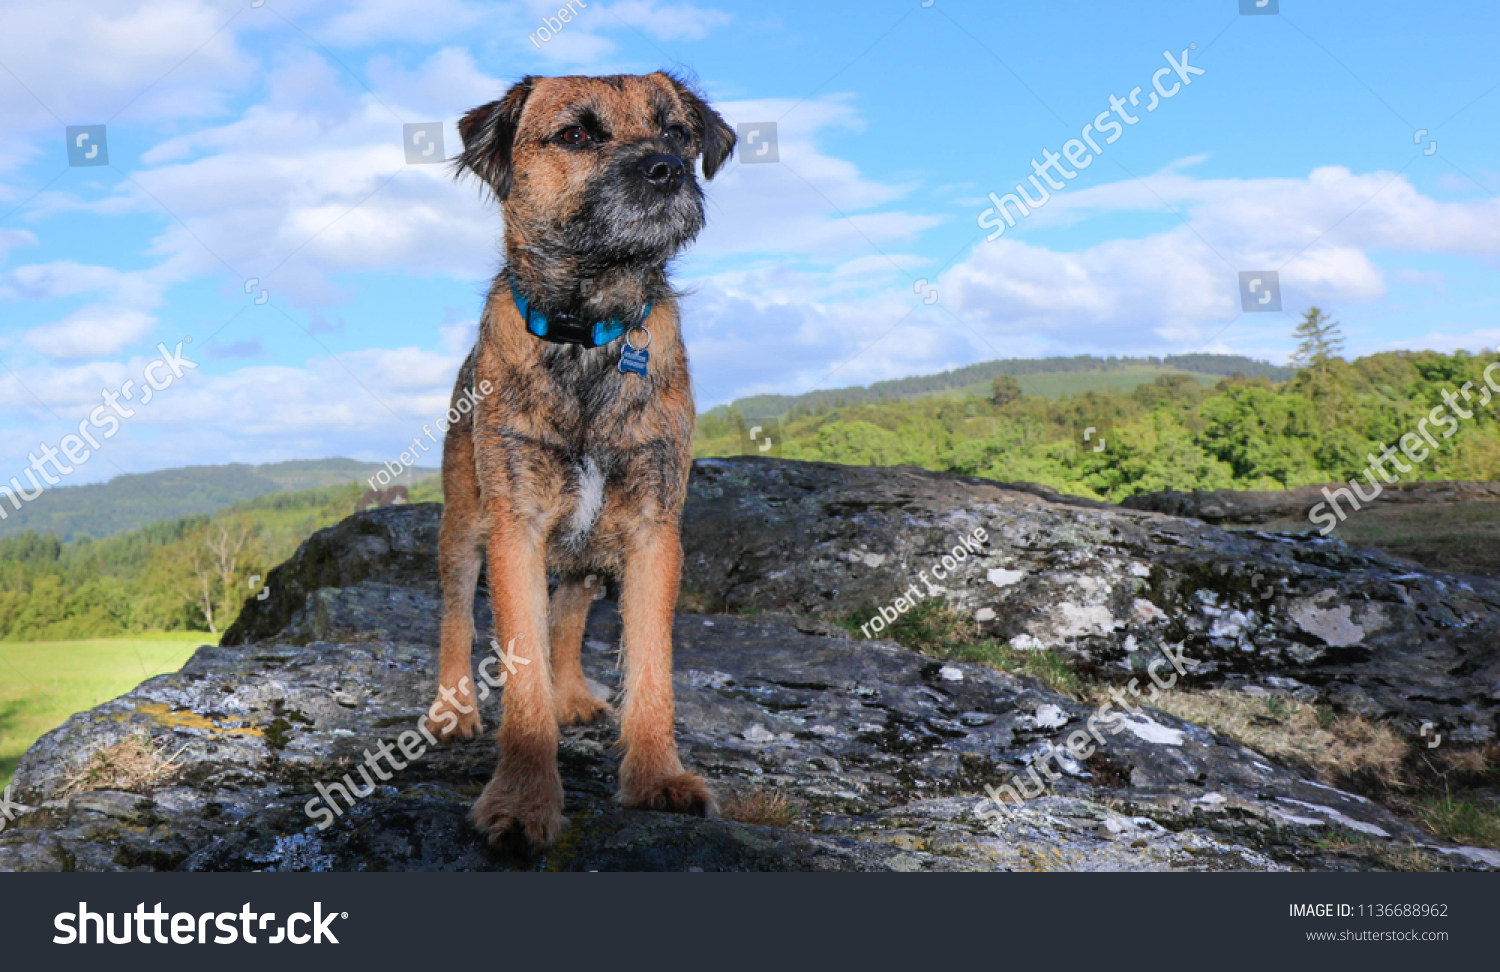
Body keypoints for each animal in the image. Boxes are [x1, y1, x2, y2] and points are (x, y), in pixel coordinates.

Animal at [432, 72, 735, 852]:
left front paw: (657, 775)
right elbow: (521, 669)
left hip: (591, 550)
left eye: (677, 131)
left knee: (570, 609)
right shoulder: (516, 528)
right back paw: (451, 711)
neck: (588, 328)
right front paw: (523, 798)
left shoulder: (653, 531)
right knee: (455, 614)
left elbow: (652, 666)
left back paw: (572, 692)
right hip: (463, 525)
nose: (666, 170)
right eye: (575, 135)